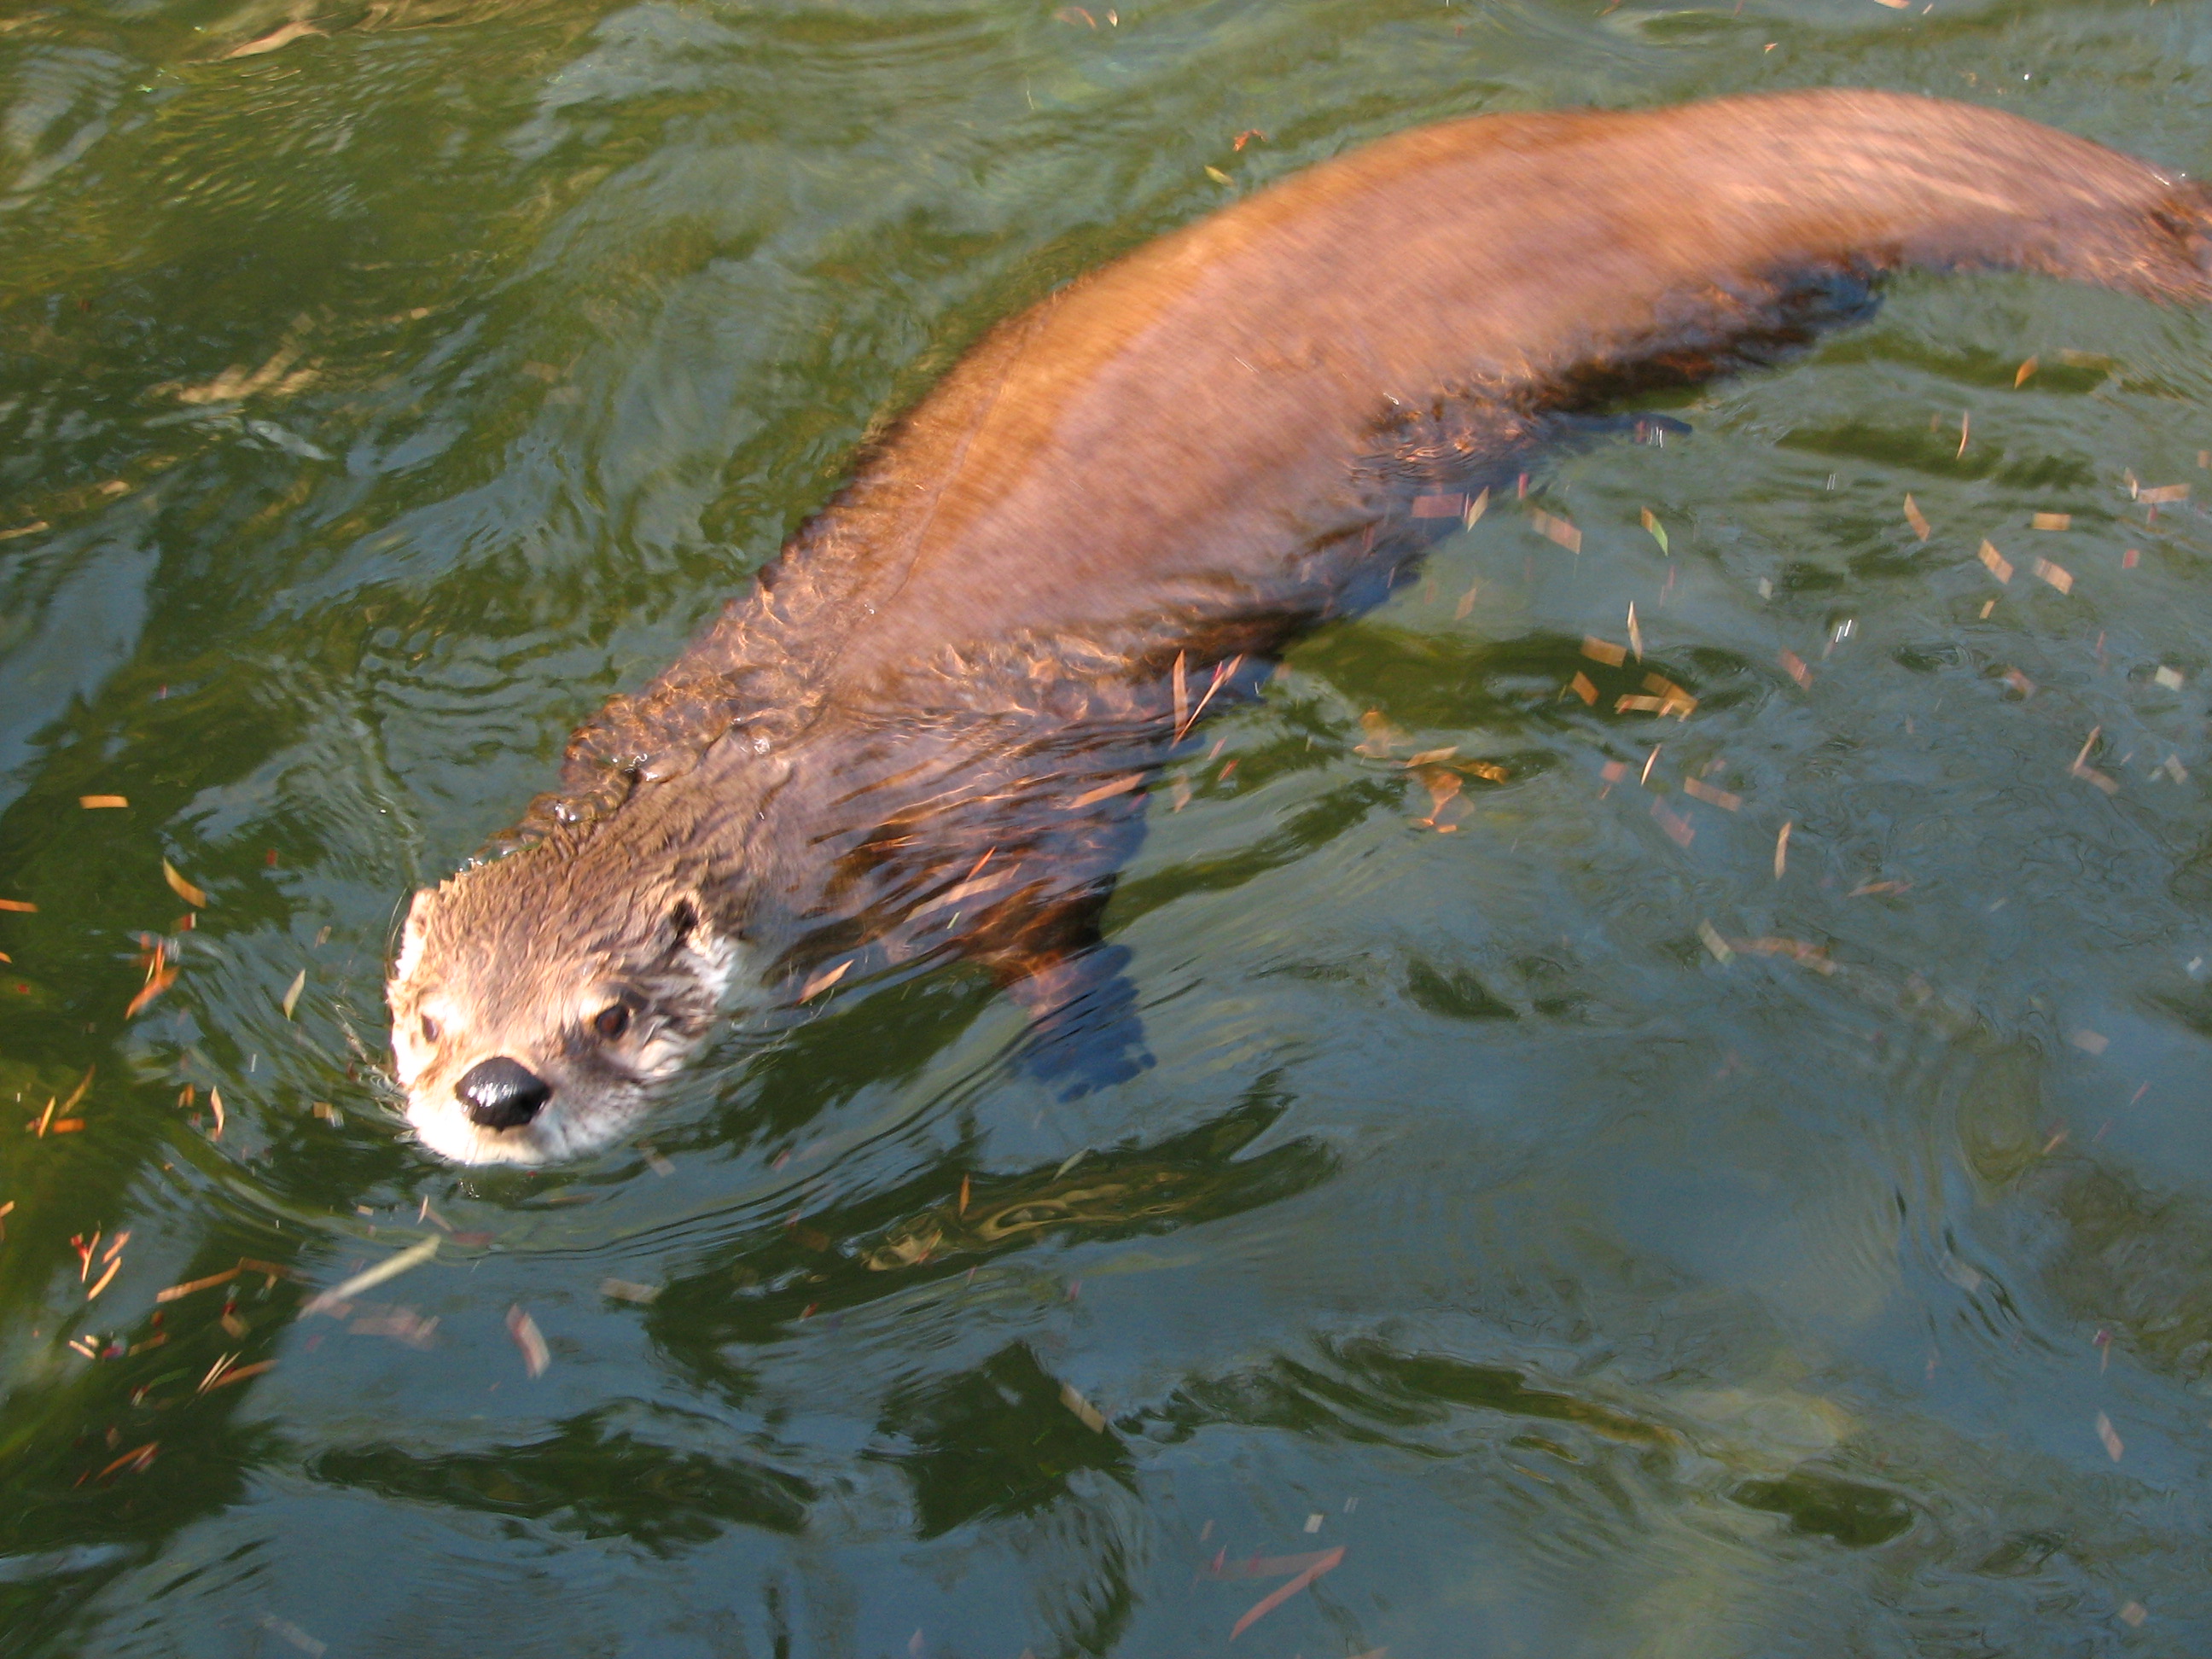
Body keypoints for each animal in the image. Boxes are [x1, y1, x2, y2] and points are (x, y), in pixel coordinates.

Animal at [387, 88, 2212, 1164]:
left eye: (611, 1009)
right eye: (430, 1015)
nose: (495, 1096)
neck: (770, 763)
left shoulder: (994, 817)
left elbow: (1057, 931)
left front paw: (1088, 1065)